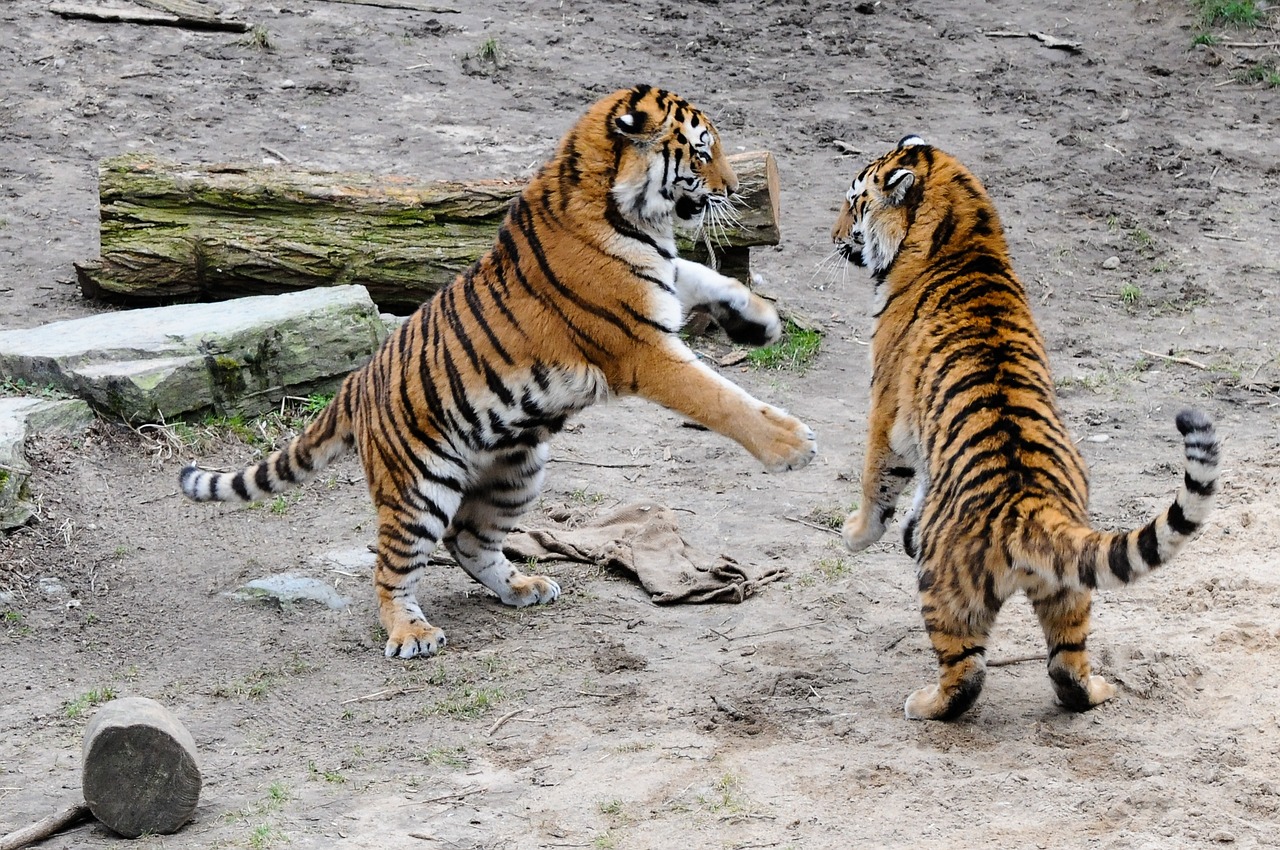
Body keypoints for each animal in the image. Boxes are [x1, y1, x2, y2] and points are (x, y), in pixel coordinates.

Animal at [177, 84, 819, 655]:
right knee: (390, 567)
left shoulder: (660, 284)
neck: (632, 215)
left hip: (517, 471)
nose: (734, 190)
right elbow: (718, 396)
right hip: (420, 488)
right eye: (702, 153)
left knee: (467, 540)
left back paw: (522, 586)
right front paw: (792, 444)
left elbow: (709, 276)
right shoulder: (642, 347)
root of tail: (355, 382)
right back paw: (411, 634)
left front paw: (760, 320)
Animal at [829, 136, 1218, 721]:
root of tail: (1029, 506)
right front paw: (908, 527)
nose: (832, 237)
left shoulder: (886, 406)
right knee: (1067, 663)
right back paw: (1097, 691)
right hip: (1070, 592)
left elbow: (877, 476)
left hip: (946, 592)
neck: (965, 232)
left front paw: (857, 533)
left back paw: (924, 703)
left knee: (966, 673)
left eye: (855, 202)